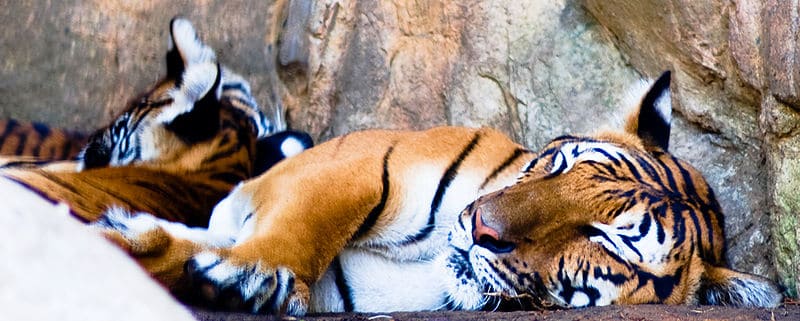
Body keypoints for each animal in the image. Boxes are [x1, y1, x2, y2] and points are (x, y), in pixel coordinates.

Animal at [98, 71, 780, 314]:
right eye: (559, 165)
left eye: (604, 239)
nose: (482, 231)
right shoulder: (358, 162)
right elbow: (302, 225)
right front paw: (252, 271)